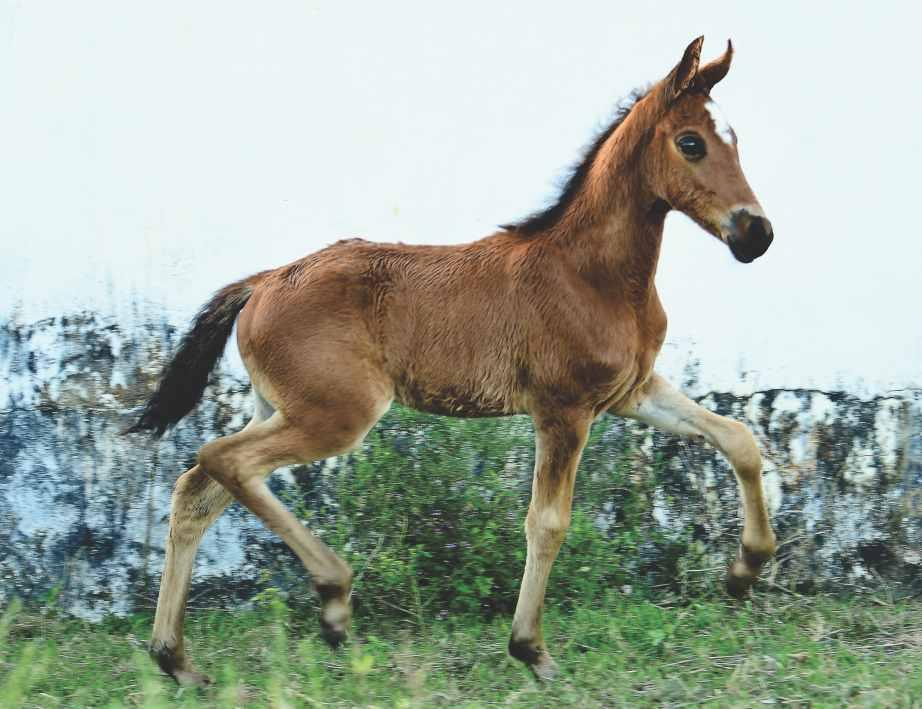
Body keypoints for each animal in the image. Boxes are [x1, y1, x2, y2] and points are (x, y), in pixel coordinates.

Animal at [127, 36, 776, 684]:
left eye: (737, 139)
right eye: (690, 143)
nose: (757, 234)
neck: (591, 274)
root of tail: (263, 281)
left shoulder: (630, 392)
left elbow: (739, 438)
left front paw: (745, 571)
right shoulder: (563, 409)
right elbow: (547, 522)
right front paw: (531, 649)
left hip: (279, 408)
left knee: (198, 488)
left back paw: (176, 658)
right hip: (335, 414)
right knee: (223, 460)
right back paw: (332, 598)